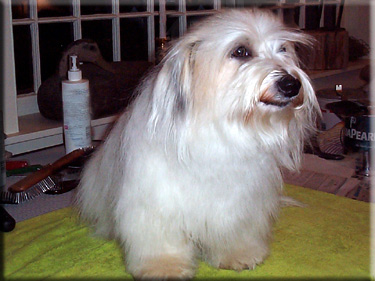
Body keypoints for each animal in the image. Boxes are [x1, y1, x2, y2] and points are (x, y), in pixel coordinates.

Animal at [76, 7, 320, 278]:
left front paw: (238, 254)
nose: (291, 84)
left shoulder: (237, 204)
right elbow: (162, 241)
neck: (221, 131)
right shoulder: (156, 203)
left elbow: (234, 230)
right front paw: (164, 266)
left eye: (283, 49)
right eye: (240, 51)